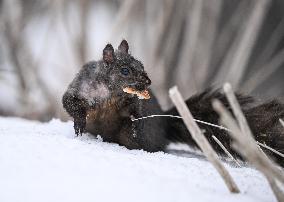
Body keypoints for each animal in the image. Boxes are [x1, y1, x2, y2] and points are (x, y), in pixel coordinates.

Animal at [62, 40, 284, 166]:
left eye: (141, 64)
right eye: (124, 70)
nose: (148, 82)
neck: (111, 93)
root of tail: (166, 125)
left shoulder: (131, 103)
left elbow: (134, 113)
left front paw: (135, 123)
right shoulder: (81, 86)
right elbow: (69, 102)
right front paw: (80, 122)